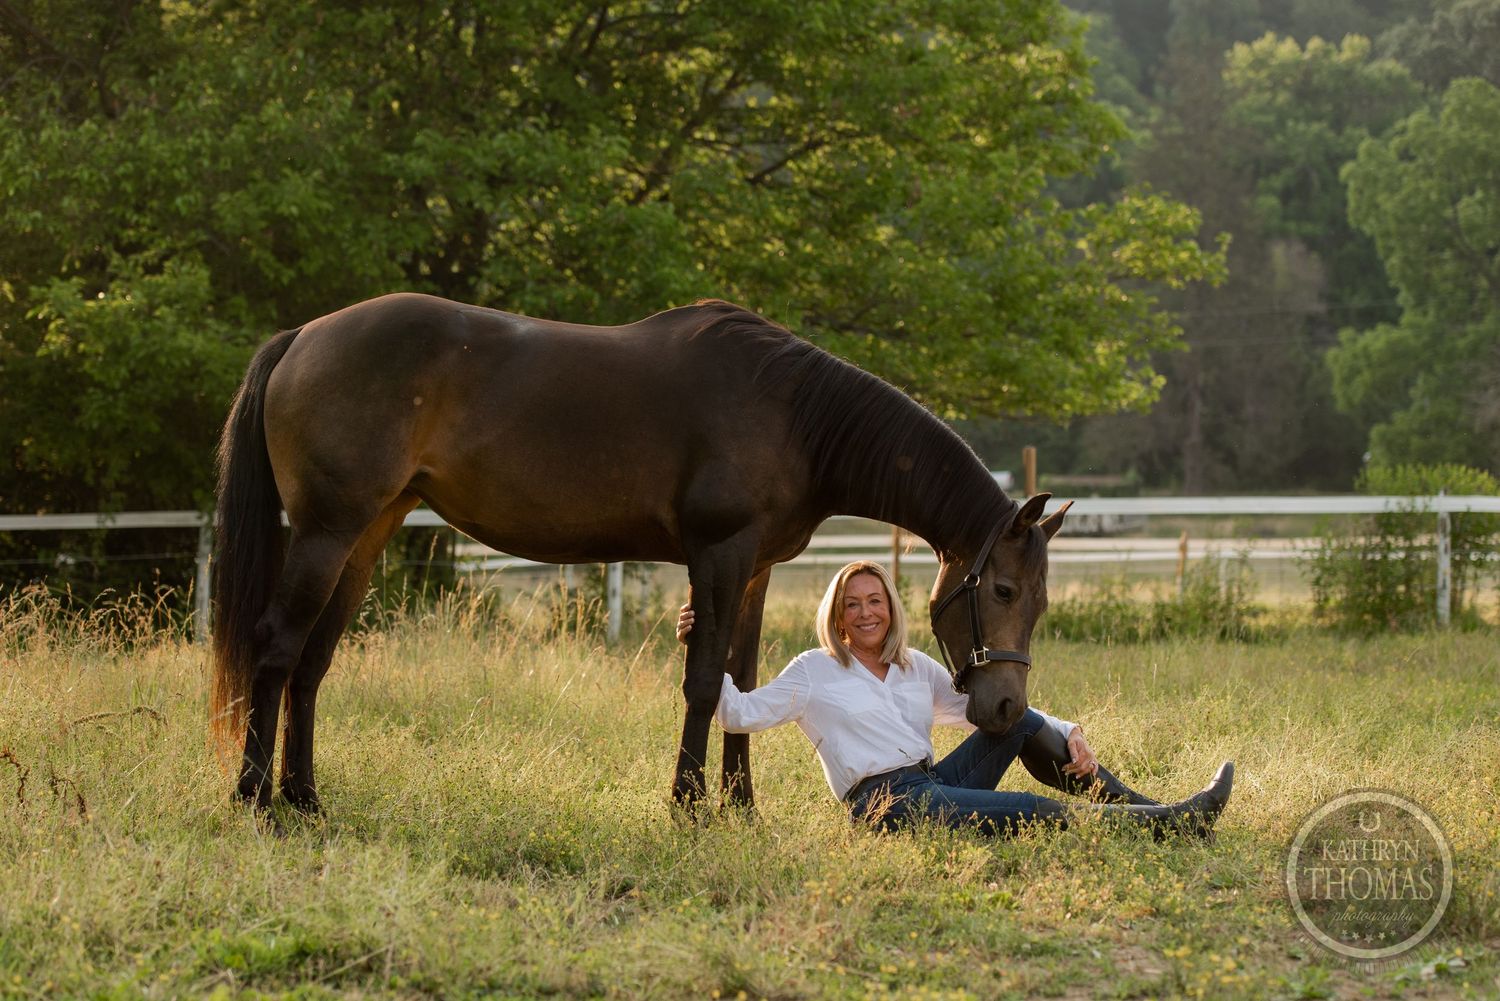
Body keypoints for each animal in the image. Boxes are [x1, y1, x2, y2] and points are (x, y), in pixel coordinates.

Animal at [211, 293, 1070, 812]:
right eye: (1000, 590)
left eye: (1039, 599)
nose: (1006, 709)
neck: (794, 413)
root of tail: (302, 336)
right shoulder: (718, 554)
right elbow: (703, 680)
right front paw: (688, 805)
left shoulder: (756, 567)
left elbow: (744, 682)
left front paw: (742, 807)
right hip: (326, 532)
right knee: (277, 648)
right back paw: (256, 799)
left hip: (366, 535)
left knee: (313, 663)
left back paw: (305, 797)